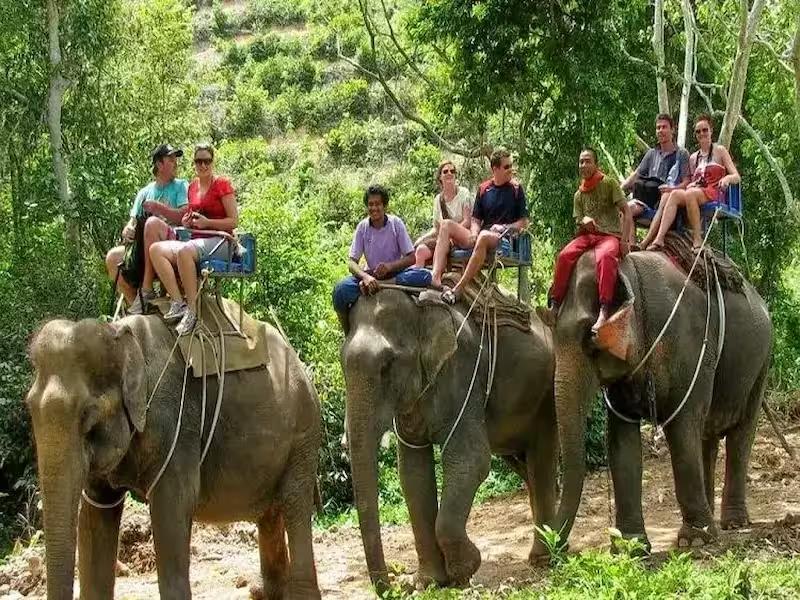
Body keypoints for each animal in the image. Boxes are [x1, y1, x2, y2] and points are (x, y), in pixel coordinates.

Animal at [25, 314, 321, 600]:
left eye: (88, 417)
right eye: (28, 406)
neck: (121, 335)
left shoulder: (176, 424)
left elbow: (173, 505)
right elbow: (95, 513)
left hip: (303, 435)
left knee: (295, 503)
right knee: (271, 514)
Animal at [341, 289, 557, 592]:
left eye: (386, 366)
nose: (395, 582)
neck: (420, 311)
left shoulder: (462, 371)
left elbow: (470, 459)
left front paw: (464, 571)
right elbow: (412, 473)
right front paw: (427, 581)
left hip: (545, 397)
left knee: (541, 462)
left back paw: (544, 558)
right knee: (526, 467)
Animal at [548, 248, 772, 550]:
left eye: (590, 337)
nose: (552, 553)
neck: (628, 269)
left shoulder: (688, 348)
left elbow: (681, 429)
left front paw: (694, 542)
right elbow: (621, 441)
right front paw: (630, 548)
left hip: (760, 364)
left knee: (740, 434)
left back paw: (732, 524)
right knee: (707, 436)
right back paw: (712, 518)